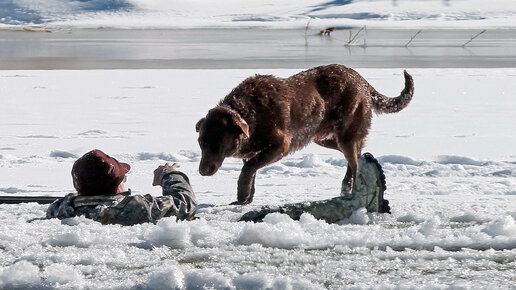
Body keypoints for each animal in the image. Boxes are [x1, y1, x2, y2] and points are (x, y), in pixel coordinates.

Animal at [196, 64, 414, 203]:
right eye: (201, 143)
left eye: (217, 144)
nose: (202, 171)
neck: (249, 113)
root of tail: (361, 80)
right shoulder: (251, 151)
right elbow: (251, 171)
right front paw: (247, 198)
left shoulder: (280, 145)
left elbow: (248, 169)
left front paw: (241, 195)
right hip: (322, 137)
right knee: (357, 153)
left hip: (345, 135)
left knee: (354, 161)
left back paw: (351, 189)